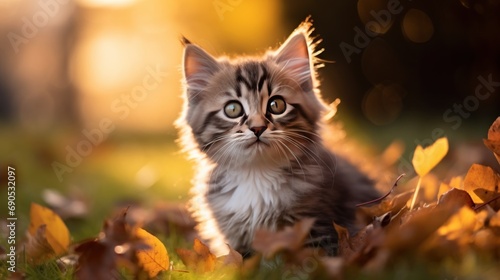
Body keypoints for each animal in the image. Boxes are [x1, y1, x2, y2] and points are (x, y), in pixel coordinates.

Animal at [177, 19, 378, 256]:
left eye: (276, 105)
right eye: (233, 109)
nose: (257, 128)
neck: (256, 174)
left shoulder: (317, 224)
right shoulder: (237, 240)